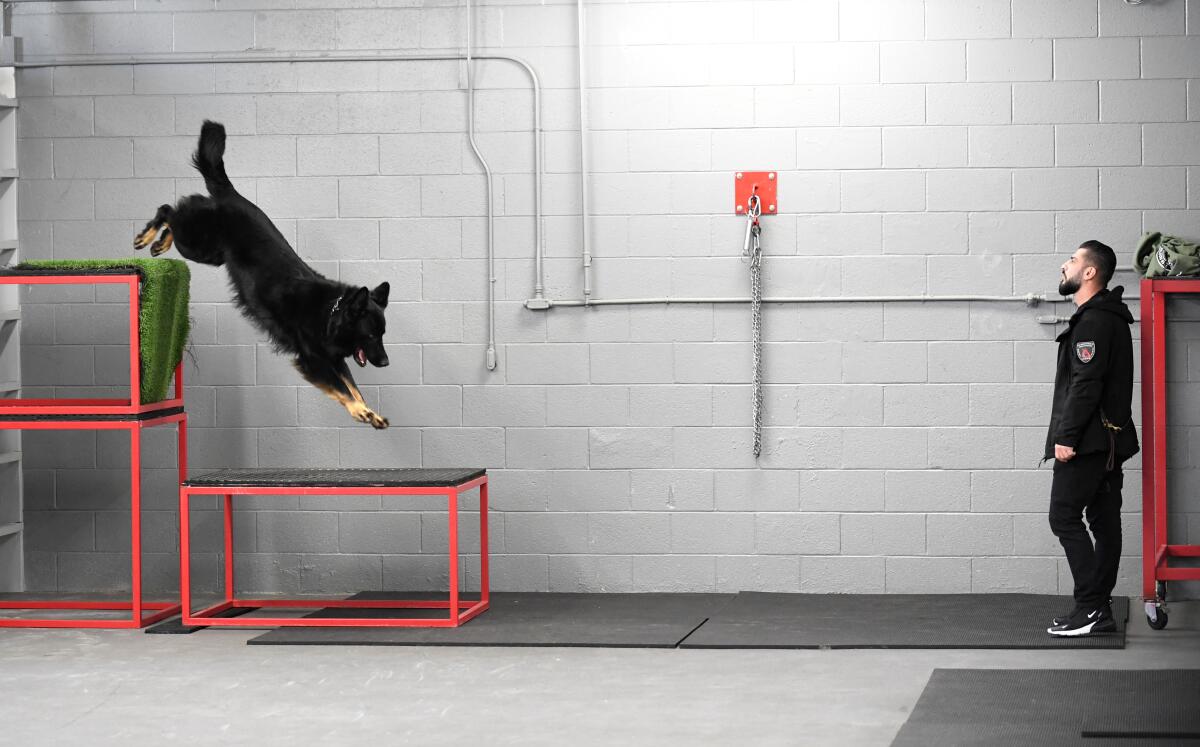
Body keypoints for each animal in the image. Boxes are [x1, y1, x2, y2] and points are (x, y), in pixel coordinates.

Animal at [136, 120, 391, 429]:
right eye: (371, 335)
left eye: (382, 334)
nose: (386, 363)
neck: (330, 311)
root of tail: (231, 194)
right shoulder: (312, 359)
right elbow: (342, 387)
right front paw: (359, 411)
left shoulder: (333, 358)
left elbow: (353, 386)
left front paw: (369, 411)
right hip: (197, 246)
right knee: (170, 209)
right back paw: (148, 237)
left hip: (210, 253)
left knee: (177, 214)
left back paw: (159, 243)